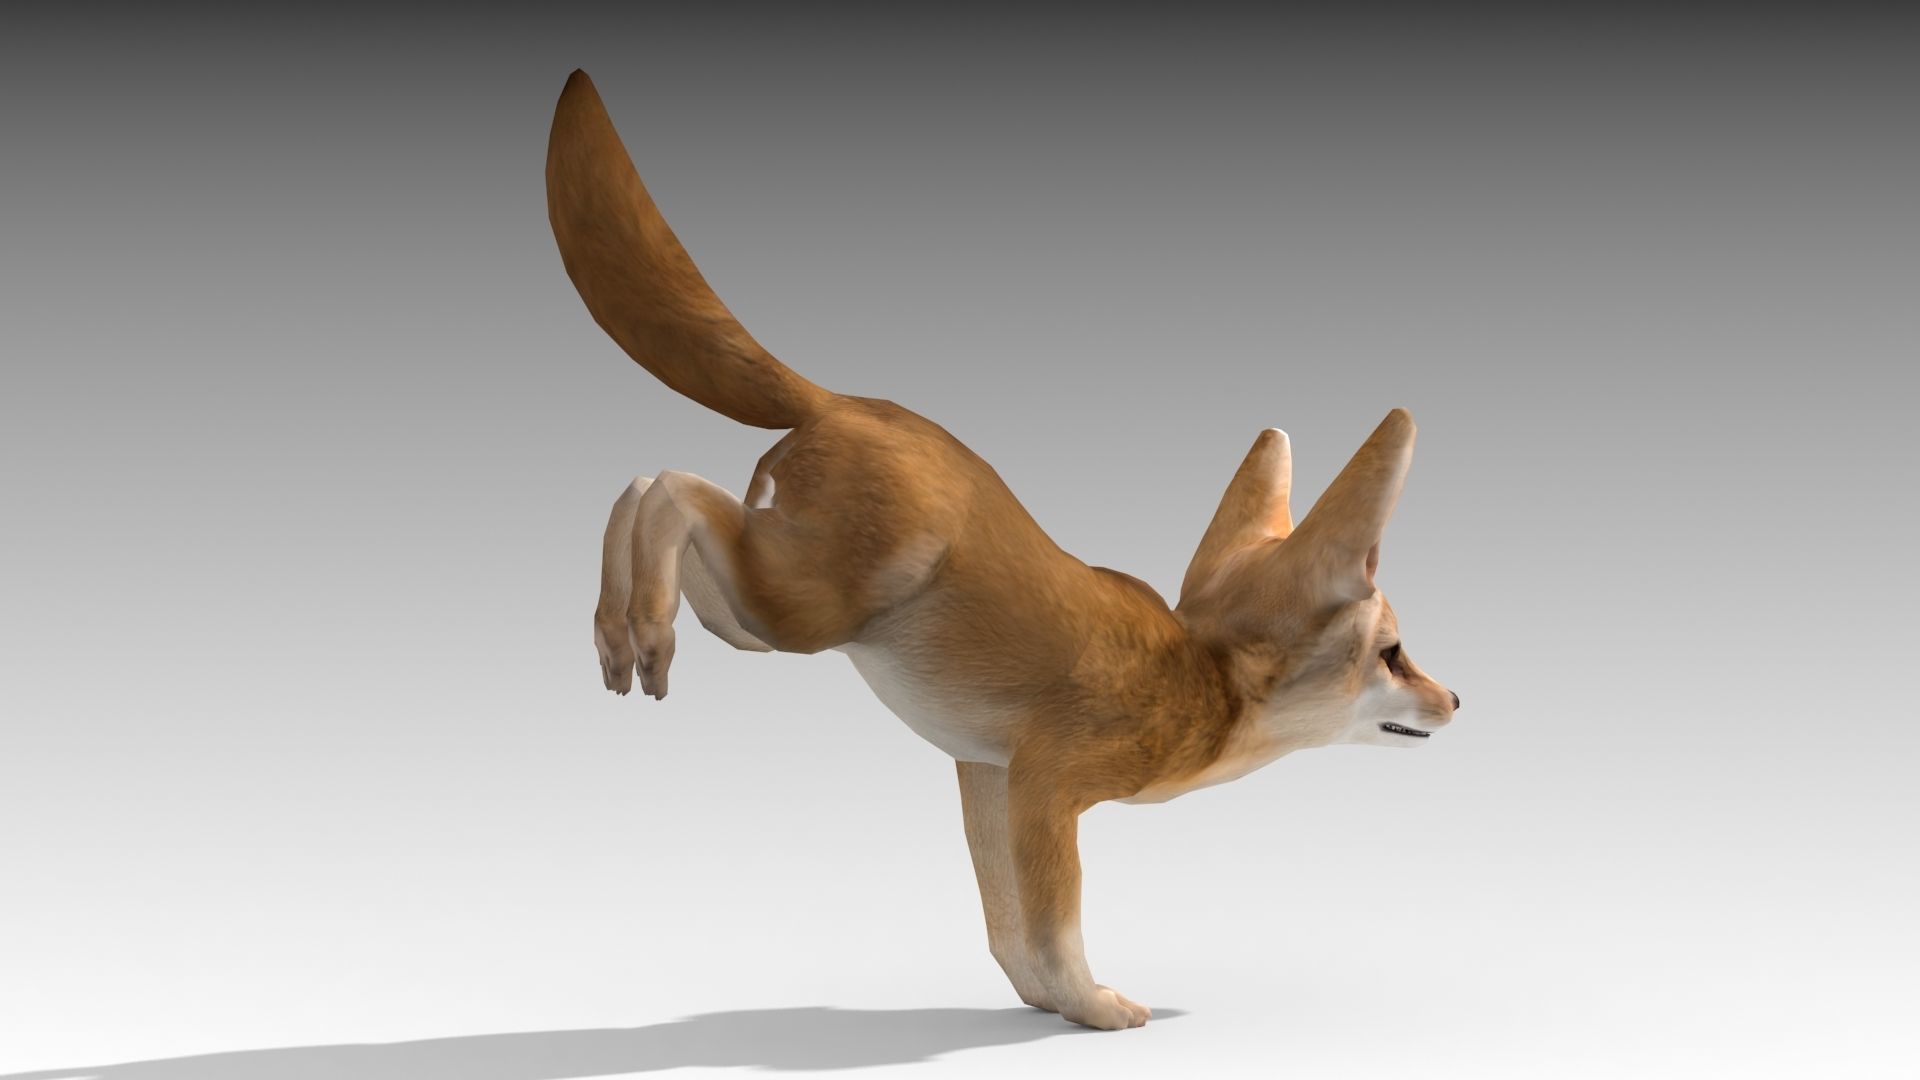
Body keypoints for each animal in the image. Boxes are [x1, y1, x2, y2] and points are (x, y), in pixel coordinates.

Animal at [548, 69, 1460, 1031]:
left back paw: (616, 630)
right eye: (1394, 652)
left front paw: (1045, 1005)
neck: (1197, 675)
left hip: (759, 610)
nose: (1458, 700)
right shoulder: (1049, 785)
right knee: (669, 489)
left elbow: (1006, 930)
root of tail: (843, 400)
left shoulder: (987, 774)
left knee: (642, 487)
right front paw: (1094, 1008)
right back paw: (645, 631)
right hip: (797, 612)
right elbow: (1055, 925)